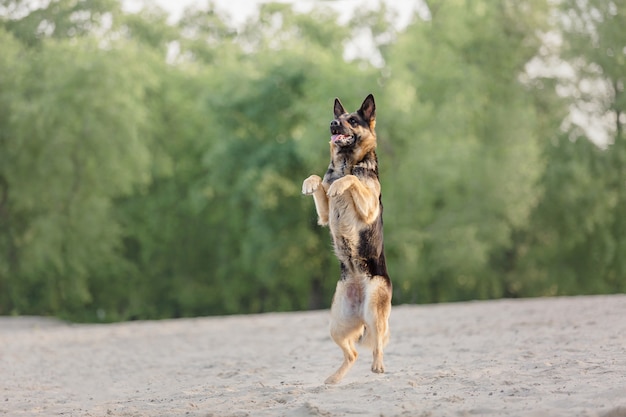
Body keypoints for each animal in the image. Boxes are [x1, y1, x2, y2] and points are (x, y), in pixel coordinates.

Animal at [298, 94, 390, 384]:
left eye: (352, 120)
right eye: (338, 118)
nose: (332, 124)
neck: (346, 161)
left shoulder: (368, 206)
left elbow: (352, 180)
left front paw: (341, 184)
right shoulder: (324, 215)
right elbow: (319, 179)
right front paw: (310, 183)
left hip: (374, 307)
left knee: (378, 341)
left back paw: (379, 365)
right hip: (337, 325)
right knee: (354, 353)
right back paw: (334, 379)